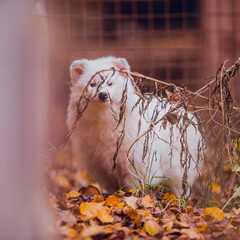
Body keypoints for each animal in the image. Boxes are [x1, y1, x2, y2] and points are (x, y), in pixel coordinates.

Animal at [66, 56, 203, 197]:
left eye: (110, 83)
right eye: (92, 84)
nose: (103, 94)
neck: (105, 121)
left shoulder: (136, 163)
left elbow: (135, 185)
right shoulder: (101, 168)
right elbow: (113, 188)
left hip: (181, 170)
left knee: (180, 188)